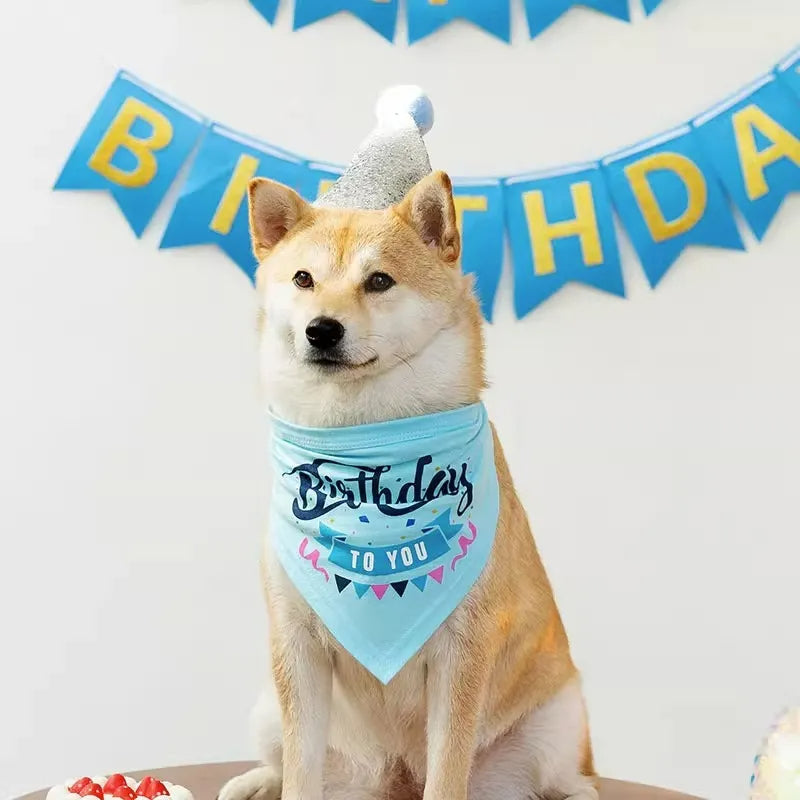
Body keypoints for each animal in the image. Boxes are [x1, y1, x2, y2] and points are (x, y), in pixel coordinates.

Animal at [216, 169, 596, 800]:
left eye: (378, 281)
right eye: (303, 279)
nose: (321, 330)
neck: (364, 450)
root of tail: (392, 779)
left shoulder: (462, 652)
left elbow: (446, 774)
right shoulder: (296, 646)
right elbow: (300, 769)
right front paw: (282, 781)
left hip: (559, 715)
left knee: (559, 775)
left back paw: (575, 790)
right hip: (270, 709)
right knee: (287, 762)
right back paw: (255, 781)